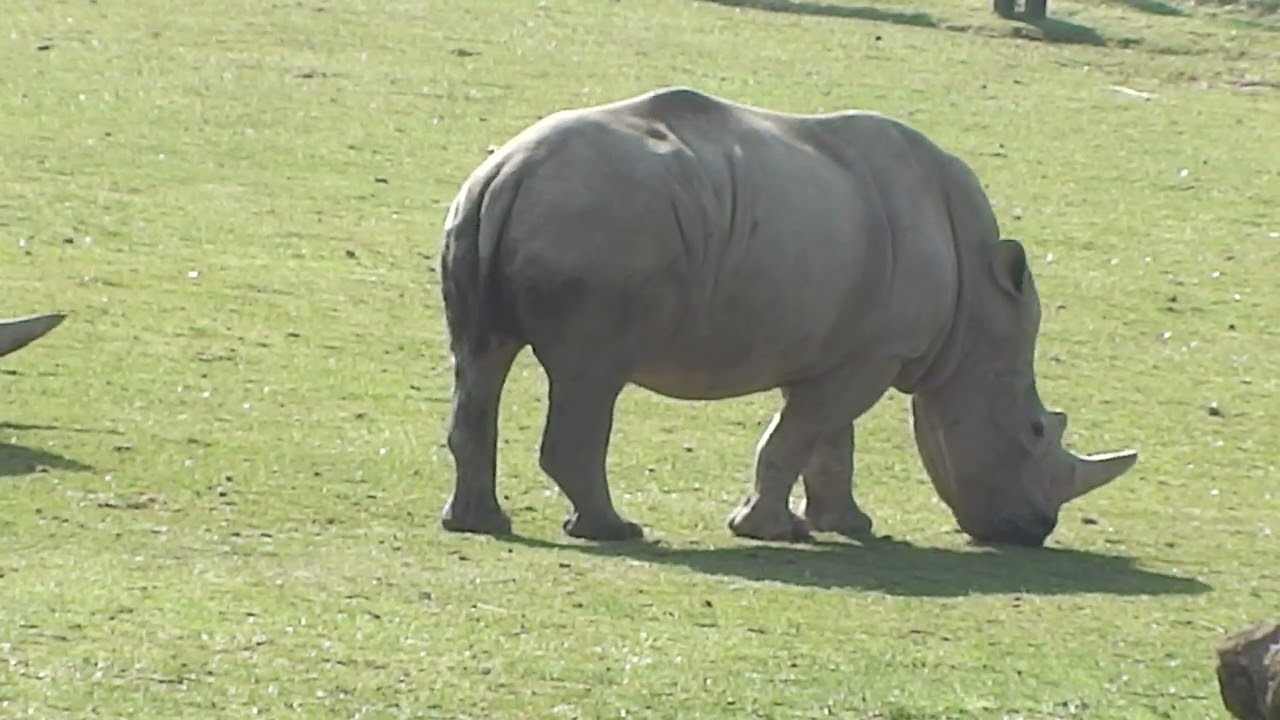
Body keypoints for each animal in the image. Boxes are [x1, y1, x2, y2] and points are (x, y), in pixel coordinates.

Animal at [437, 86, 1138, 548]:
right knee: (592, 377)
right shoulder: (880, 352)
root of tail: (510, 172)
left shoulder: (847, 346)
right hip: (602, 225)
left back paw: (478, 524)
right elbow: (800, 433)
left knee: (482, 360)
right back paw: (616, 532)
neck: (976, 318)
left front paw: (843, 526)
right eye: (1035, 430)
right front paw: (768, 532)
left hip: (480, 210)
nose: (1033, 532)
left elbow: (827, 438)